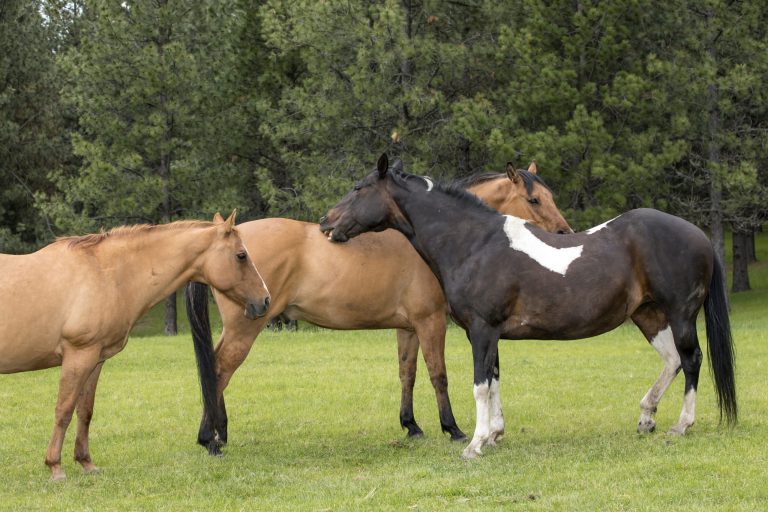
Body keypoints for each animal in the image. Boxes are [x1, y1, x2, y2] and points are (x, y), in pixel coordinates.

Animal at [0, 212, 270, 481]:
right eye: (241, 255)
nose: (265, 300)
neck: (104, 272)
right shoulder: (78, 356)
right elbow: (63, 411)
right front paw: (55, 467)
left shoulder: (95, 359)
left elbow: (85, 411)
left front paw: (86, 462)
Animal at [187, 160, 573, 455]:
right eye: (534, 199)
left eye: (550, 196)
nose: (564, 233)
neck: (439, 238)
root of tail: (223, 239)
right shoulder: (430, 322)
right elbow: (438, 375)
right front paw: (452, 428)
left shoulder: (408, 327)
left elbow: (407, 373)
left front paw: (411, 425)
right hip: (246, 327)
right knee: (219, 369)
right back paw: (211, 437)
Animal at [319, 154, 737, 460]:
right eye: (534, 200)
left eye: (358, 189)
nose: (326, 223)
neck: (474, 243)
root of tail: (698, 234)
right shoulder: (488, 334)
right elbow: (494, 380)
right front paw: (494, 435)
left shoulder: (482, 330)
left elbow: (480, 386)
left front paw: (474, 444)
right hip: (648, 314)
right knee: (672, 360)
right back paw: (646, 417)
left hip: (680, 315)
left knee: (691, 359)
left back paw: (681, 425)